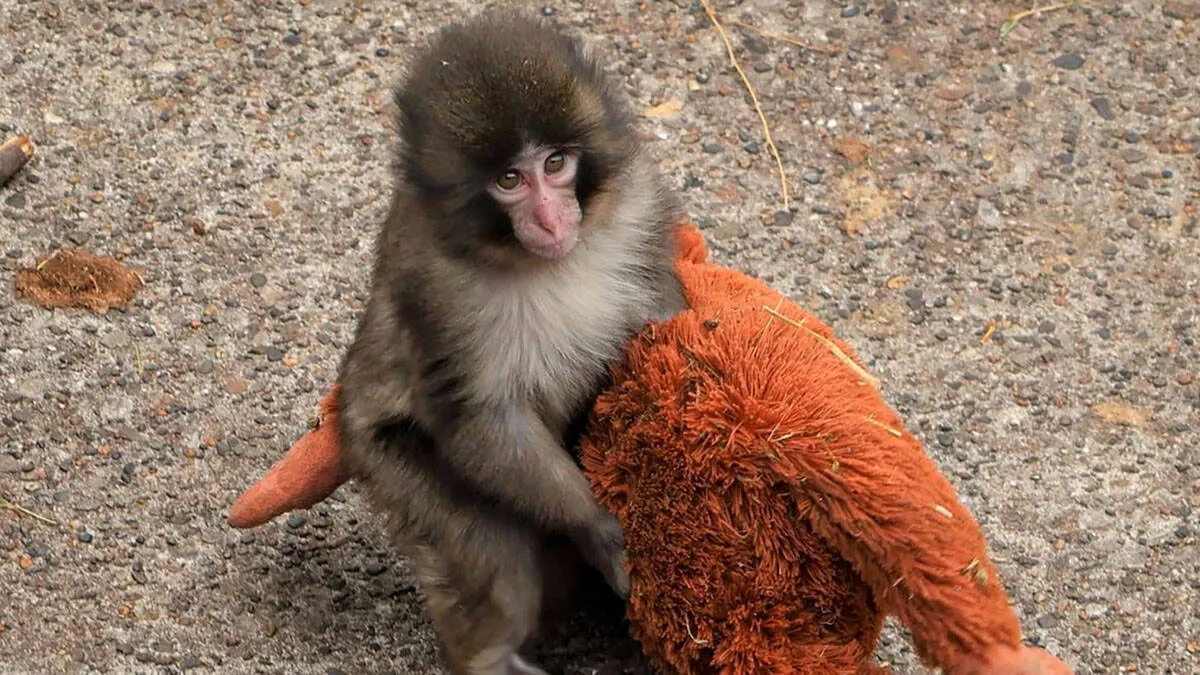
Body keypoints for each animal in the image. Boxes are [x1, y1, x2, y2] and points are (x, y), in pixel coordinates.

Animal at [334, 10, 689, 675]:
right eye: (508, 180)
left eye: (554, 165)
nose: (551, 219)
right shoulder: (437, 288)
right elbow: (481, 418)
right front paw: (598, 527)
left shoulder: (639, 206)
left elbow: (664, 312)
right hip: (389, 461)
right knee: (496, 550)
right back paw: (488, 654)